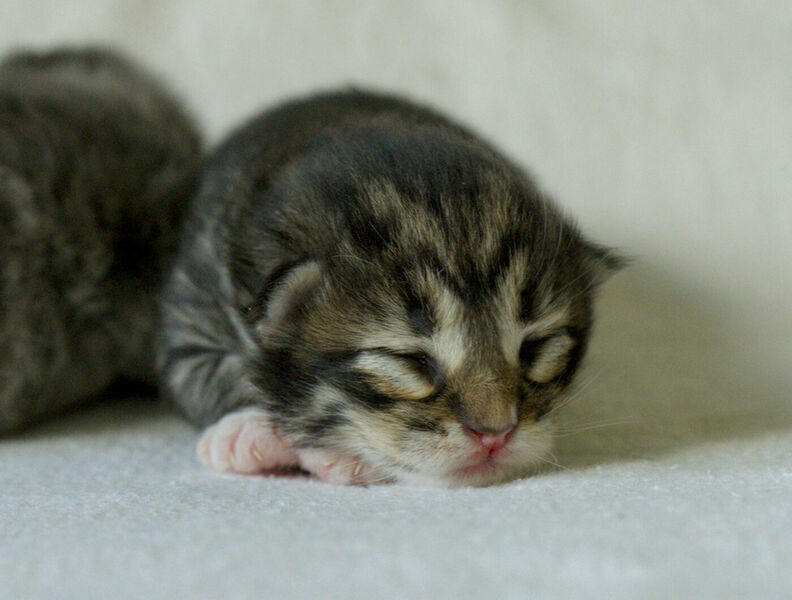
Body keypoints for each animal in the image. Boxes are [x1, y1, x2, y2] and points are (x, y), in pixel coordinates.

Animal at [158, 91, 620, 490]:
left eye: (534, 349)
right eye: (411, 361)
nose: (495, 434)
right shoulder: (190, 315)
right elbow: (220, 375)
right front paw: (249, 430)